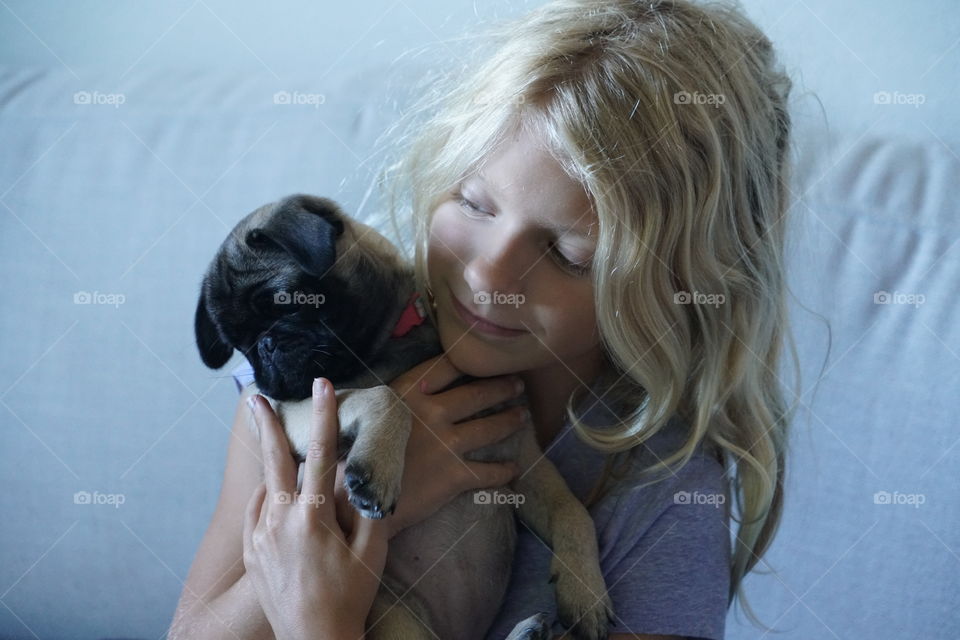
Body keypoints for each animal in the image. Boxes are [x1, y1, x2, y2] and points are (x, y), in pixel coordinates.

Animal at [196, 194, 616, 640]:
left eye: (287, 301)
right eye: (238, 344)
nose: (265, 345)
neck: (383, 348)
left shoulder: (521, 459)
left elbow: (573, 511)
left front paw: (586, 592)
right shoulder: (298, 406)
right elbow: (385, 396)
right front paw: (377, 467)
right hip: (395, 616)